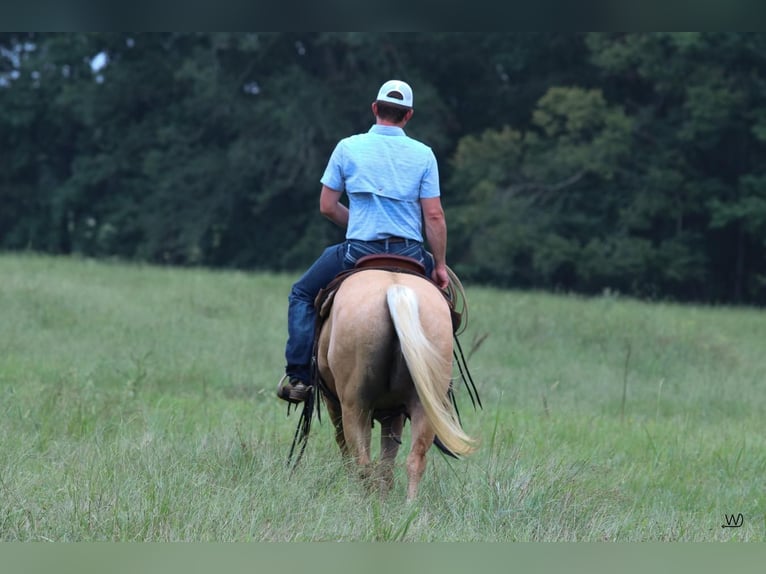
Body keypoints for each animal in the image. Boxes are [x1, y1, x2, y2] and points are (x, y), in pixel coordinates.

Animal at [314, 268, 474, 502]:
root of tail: (396, 290)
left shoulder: (335, 404)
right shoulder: (394, 413)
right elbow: (387, 463)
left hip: (355, 406)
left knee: (361, 461)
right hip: (423, 405)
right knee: (415, 460)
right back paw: (409, 505)